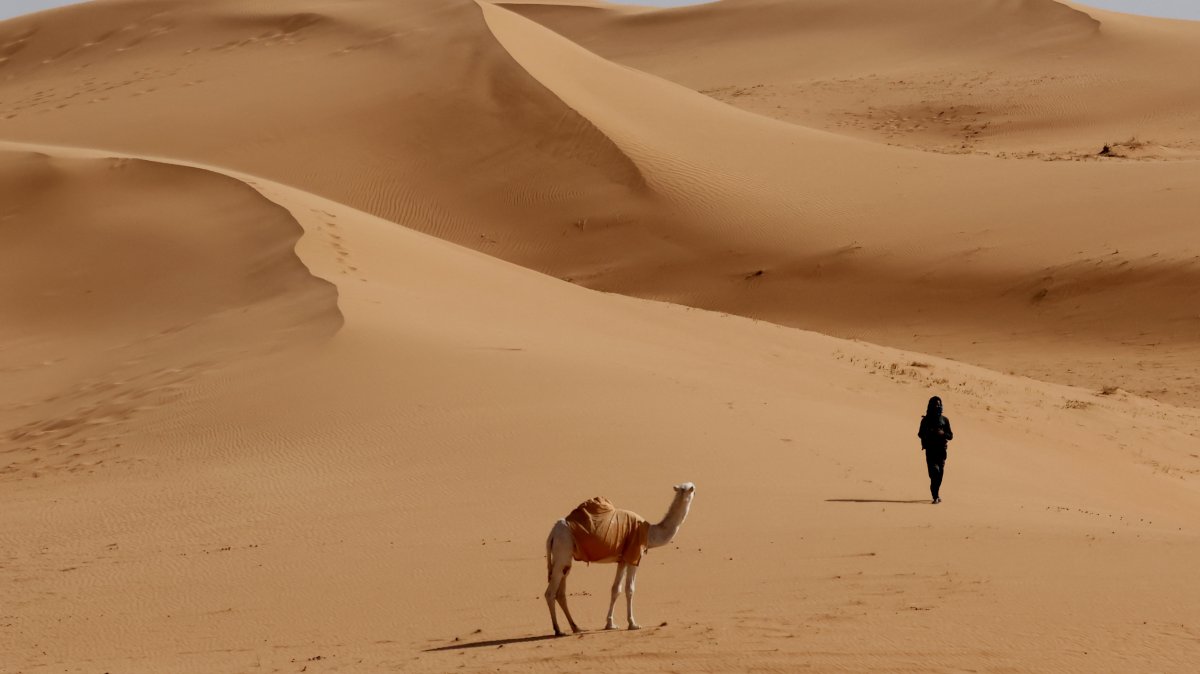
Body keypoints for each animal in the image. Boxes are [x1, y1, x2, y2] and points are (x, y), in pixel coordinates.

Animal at [544, 482, 696, 636]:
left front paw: (610, 624)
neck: (649, 533)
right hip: (563, 550)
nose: (696, 491)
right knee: (550, 593)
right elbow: (630, 589)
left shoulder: (622, 560)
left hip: (565, 558)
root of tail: (552, 533)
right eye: (693, 488)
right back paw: (558, 630)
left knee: (561, 592)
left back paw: (576, 627)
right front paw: (633, 624)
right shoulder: (634, 556)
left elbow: (616, 589)